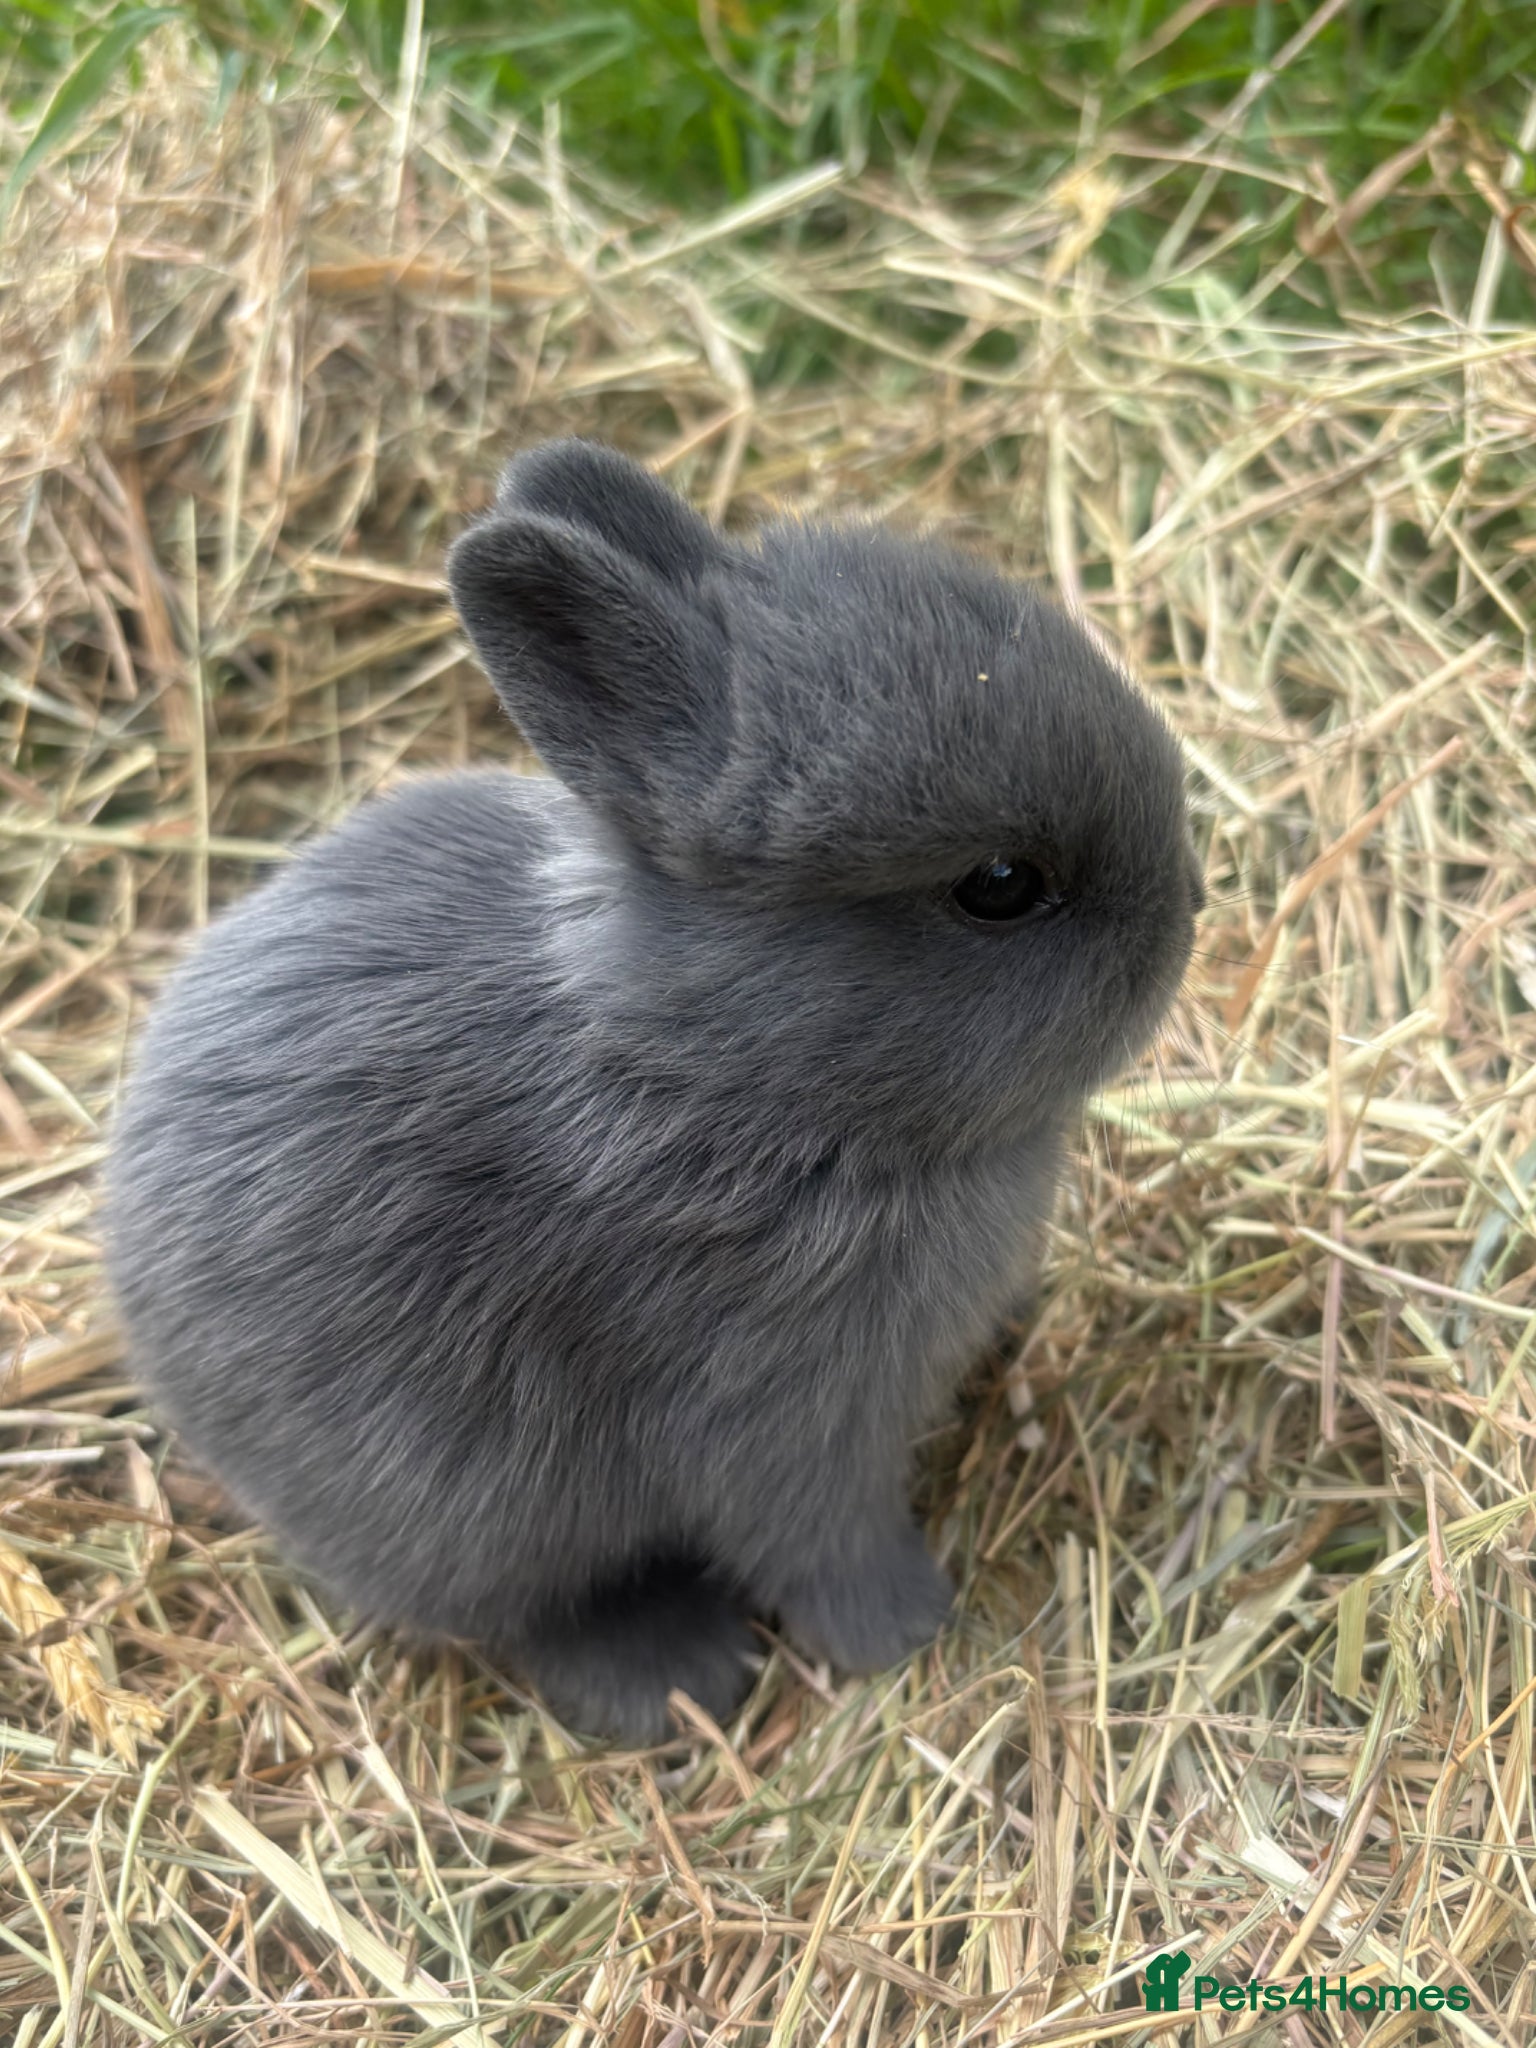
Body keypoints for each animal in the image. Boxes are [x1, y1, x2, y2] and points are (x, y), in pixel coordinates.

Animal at [105, 439, 1202, 1745]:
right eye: (998, 884)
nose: (1191, 907)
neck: (724, 1072)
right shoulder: (778, 1417)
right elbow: (819, 1543)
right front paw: (909, 1631)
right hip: (462, 1516)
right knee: (528, 1613)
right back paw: (678, 1672)